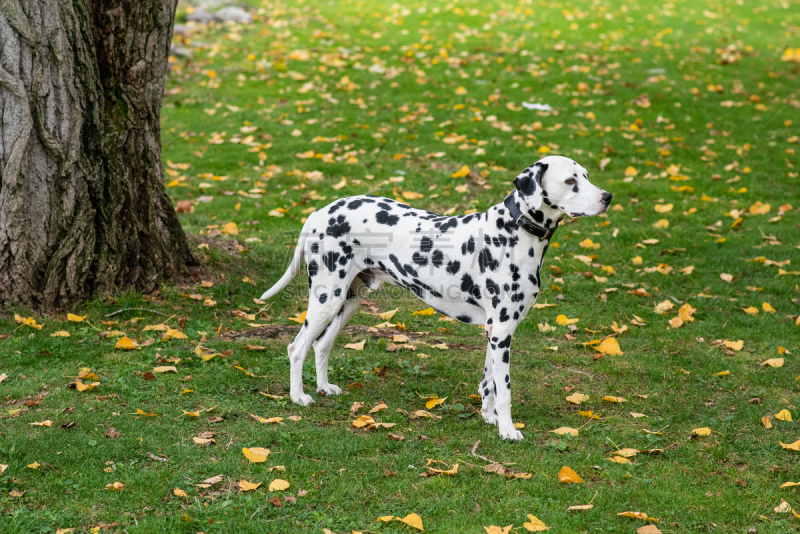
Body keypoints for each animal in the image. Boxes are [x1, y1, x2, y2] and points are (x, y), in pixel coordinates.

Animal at [260, 155, 608, 440]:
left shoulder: (495, 333)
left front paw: (489, 418)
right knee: (297, 347)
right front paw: (508, 431)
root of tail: (320, 212)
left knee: (321, 345)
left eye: (587, 176)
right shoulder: (503, 332)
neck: (514, 232)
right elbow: (505, 389)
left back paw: (323, 387)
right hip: (326, 299)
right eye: (570, 181)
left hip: (349, 301)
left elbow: (489, 384)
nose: (608, 197)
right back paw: (298, 397)